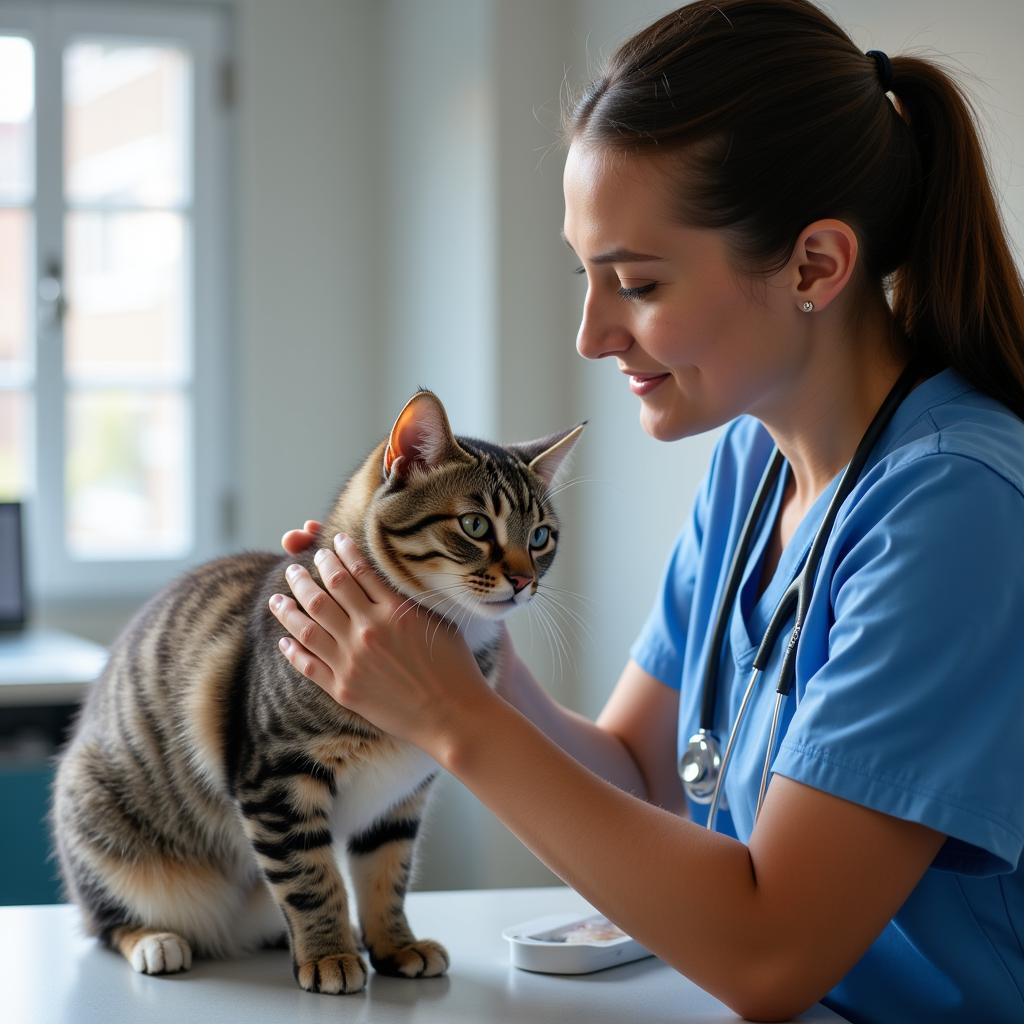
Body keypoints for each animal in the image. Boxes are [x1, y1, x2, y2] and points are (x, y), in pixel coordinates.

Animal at [51, 389, 585, 991]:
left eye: (540, 536)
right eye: (474, 524)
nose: (523, 580)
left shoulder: (400, 798)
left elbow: (387, 875)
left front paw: (394, 945)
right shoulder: (277, 779)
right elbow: (310, 878)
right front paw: (328, 956)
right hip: (99, 823)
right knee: (105, 920)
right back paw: (157, 941)